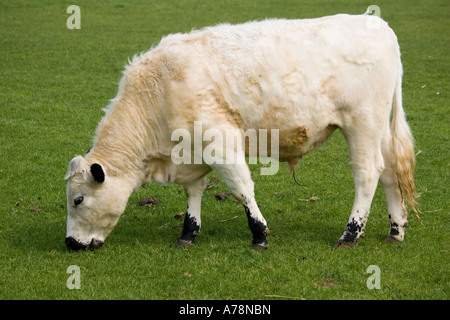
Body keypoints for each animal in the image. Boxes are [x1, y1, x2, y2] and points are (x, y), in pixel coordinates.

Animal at [64, 13, 418, 251]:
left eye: (78, 199)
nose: (70, 243)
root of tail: (377, 24)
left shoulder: (219, 142)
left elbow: (241, 188)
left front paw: (259, 233)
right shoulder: (192, 151)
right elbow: (193, 191)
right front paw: (188, 232)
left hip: (362, 123)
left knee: (367, 174)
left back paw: (350, 234)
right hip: (378, 129)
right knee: (389, 172)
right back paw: (396, 230)